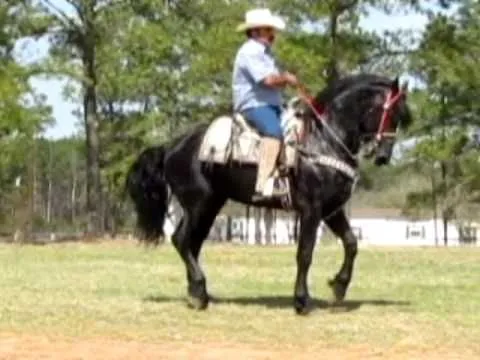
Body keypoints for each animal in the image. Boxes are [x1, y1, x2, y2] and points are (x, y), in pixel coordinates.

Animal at [125, 74, 410, 316]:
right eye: (389, 112)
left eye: (399, 116)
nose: (384, 156)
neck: (323, 141)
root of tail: (171, 146)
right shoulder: (311, 210)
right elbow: (305, 253)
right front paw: (301, 301)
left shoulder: (332, 210)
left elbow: (351, 243)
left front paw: (339, 286)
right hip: (199, 204)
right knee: (182, 240)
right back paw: (200, 292)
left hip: (210, 205)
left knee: (192, 244)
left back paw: (196, 293)